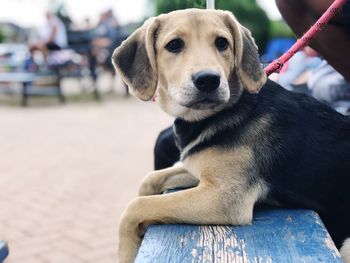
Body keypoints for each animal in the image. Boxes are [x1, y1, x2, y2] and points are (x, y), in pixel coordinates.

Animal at [112, 8, 350, 263]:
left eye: (222, 43)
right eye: (174, 45)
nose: (208, 80)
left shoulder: (225, 197)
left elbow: (136, 207)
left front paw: (127, 251)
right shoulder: (199, 169)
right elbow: (150, 180)